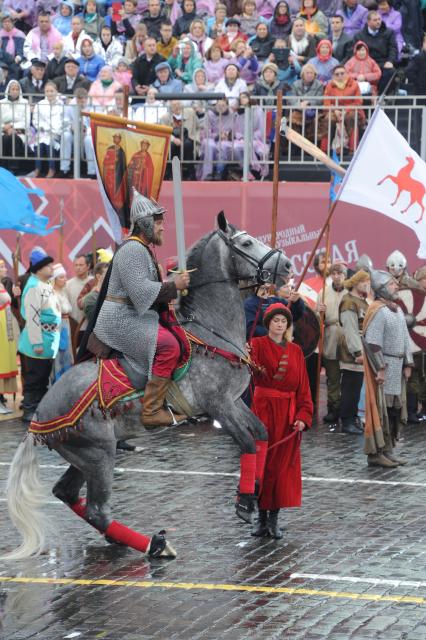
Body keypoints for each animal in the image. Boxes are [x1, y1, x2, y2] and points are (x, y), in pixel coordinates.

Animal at [3, 214, 292, 560]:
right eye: (247, 243)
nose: (287, 264)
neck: (211, 331)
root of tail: (38, 417)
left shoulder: (236, 402)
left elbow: (261, 434)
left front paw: (258, 488)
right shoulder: (218, 405)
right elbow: (248, 444)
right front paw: (245, 502)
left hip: (85, 454)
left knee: (67, 493)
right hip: (99, 455)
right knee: (97, 509)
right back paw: (155, 544)